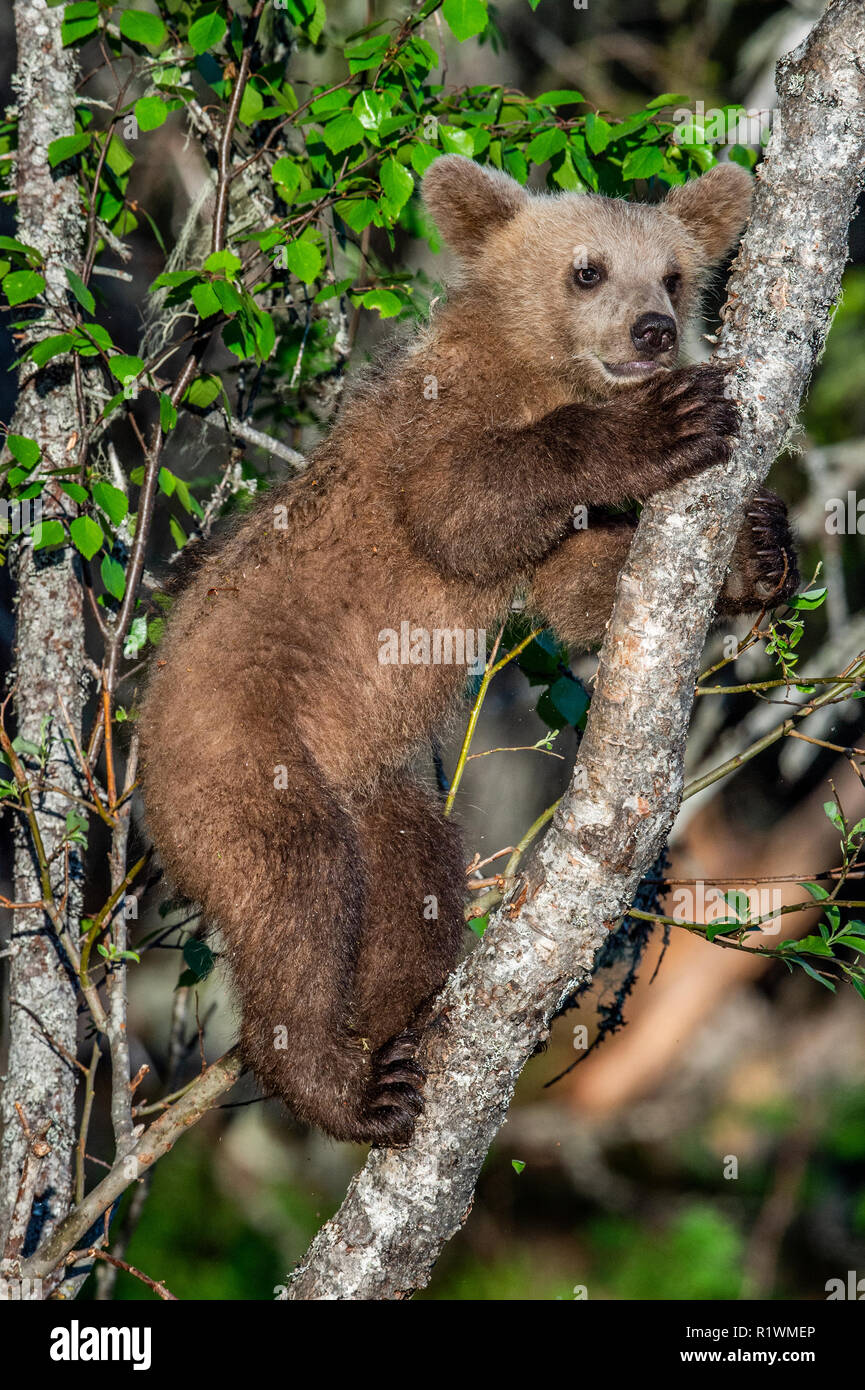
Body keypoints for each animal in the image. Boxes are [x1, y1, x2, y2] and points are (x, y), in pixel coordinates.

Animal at [138, 155, 798, 1146]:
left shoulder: (554, 535)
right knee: (298, 887)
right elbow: (461, 504)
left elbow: (579, 589)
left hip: (372, 781)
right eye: (587, 270)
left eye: (675, 274)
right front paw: (663, 422)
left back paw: (396, 1028)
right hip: (236, 747)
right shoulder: (438, 421)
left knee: (416, 878)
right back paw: (339, 1086)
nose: (653, 331)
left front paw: (758, 550)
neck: (540, 368)